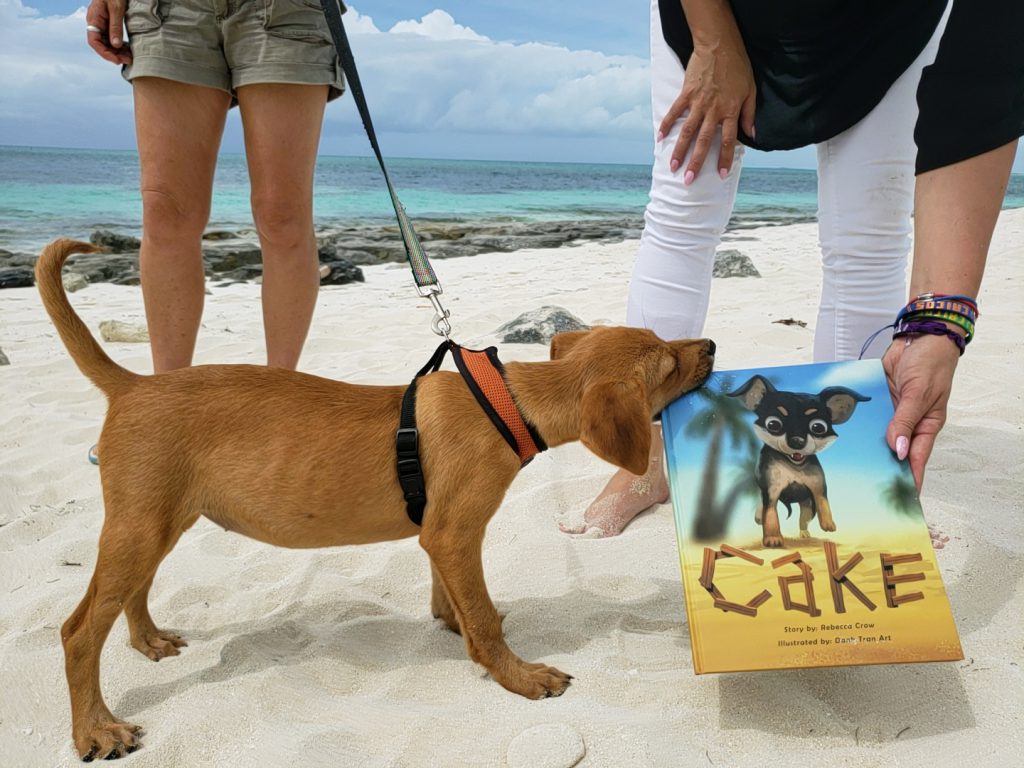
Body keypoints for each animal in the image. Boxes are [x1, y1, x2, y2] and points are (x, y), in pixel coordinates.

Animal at [36, 240, 716, 765]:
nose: (709, 344)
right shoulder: (453, 533)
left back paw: (148, 641)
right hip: (141, 527)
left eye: (665, 338)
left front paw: (457, 623)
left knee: (130, 593)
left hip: (157, 520)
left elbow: (460, 601)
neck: (508, 404)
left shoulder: (439, 535)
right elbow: (482, 618)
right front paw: (518, 675)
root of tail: (133, 384)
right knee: (77, 631)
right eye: (666, 362)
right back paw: (96, 729)